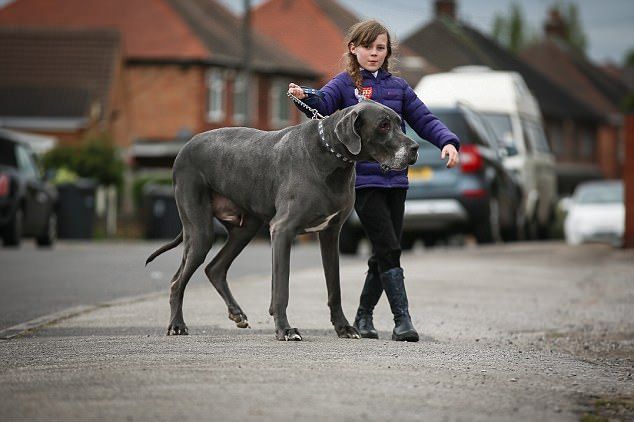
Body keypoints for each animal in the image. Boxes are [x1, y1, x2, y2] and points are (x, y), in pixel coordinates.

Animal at [145, 100, 418, 342]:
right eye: (383, 125)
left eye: (399, 122)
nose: (415, 148)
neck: (331, 156)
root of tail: (184, 147)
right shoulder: (282, 230)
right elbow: (282, 289)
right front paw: (285, 330)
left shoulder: (330, 234)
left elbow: (335, 288)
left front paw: (343, 328)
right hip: (200, 230)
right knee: (177, 281)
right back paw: (177, 325)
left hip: (246, 228)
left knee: (215, 268)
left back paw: (237, 313)